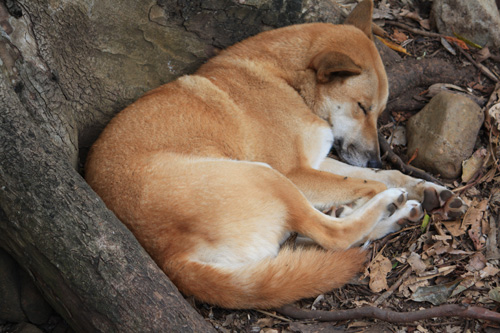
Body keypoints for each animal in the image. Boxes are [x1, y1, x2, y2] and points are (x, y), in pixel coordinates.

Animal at [86, 0, 464, 308]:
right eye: (362, 107)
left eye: (379, 111)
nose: (374, 156)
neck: (285, 81)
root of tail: (170, 259)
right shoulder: (297, 172)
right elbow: (369, 182)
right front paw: (377, 194)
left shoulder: (316, 161)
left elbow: (379, 175)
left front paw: (426, 187)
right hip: (267, 175)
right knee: (334, 235)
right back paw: (383, 207)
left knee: (318, 239)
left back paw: (395, 214)